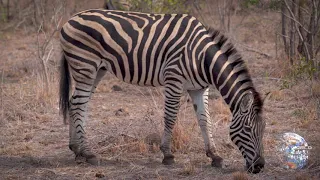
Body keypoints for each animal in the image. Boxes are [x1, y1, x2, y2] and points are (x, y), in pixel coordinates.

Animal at [58, 8, 266, 173]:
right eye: (248, 129)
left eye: (263, 129)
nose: (259, 166)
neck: (202, 58)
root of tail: (71, 19)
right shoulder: (174, 79)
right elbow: (171, 117)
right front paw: (167, 155)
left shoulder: (199, 89)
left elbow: (205, 120)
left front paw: (215, 156)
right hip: (85, 65)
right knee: (78, 104)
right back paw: (88, 153)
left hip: (96, 70)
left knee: (76, 103)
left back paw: (77, 150)